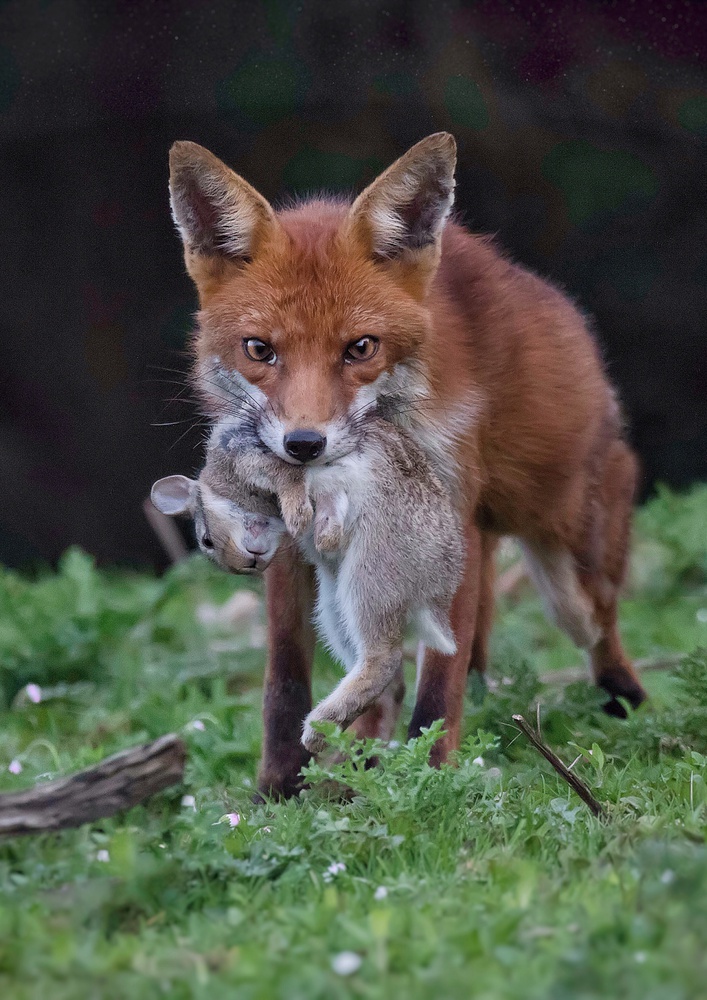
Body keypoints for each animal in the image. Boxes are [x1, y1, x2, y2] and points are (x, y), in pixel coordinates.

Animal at [167, 131, 648, 796]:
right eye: (259, 350)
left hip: (561, 564)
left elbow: (439, 684)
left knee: (594, 617)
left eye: (360, 348)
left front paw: (432, 777)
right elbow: (284, 679)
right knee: (389, 669)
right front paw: (277, 789)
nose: (303, 444)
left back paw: (626, 696)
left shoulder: (451, 521)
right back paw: (363, 759)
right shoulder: (288, 544)